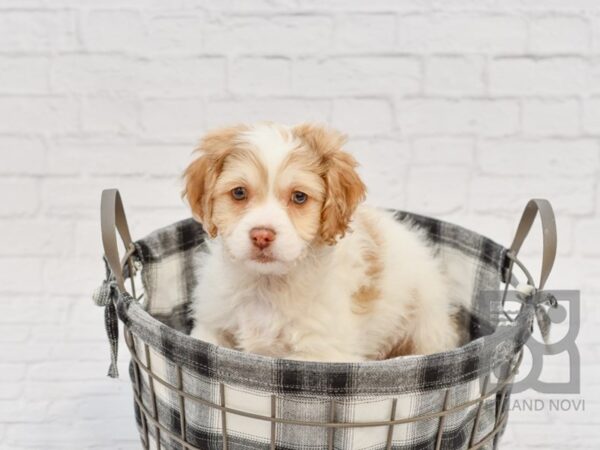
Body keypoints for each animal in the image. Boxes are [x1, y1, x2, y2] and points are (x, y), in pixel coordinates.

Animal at [183, 123, 464, 362]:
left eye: (299, 197)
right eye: (239, 193)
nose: (262, 235)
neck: (267, 285)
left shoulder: (322, 352)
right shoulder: (211, 327)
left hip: (428, 326)